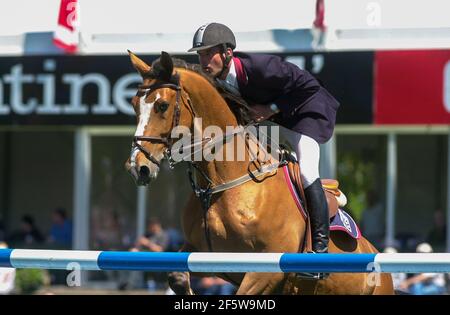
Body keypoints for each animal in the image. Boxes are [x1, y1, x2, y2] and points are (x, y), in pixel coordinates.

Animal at [124, 50, 394, 296]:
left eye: (162, 105)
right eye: (134, 105)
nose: (138, 168)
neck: (221, 182)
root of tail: (373, 252)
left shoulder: (265, 271)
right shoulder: (202, 255)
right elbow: (177, 276)